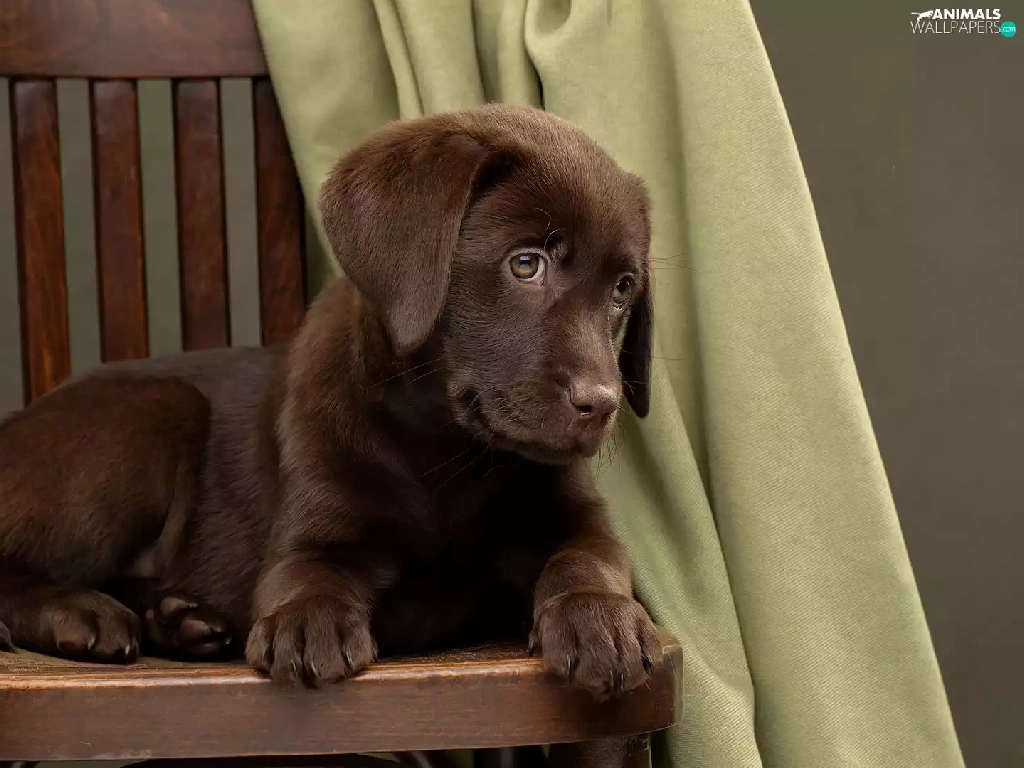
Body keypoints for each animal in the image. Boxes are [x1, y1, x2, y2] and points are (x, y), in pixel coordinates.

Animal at [0, 104, 659, 696]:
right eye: (526, 264)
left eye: (623, 289)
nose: (601, 405)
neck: (442, 445)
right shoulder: (314, 528)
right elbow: (306, 574)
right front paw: (306, 621)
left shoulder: (576, 517)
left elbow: (592, 557)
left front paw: (601, 616)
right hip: (153, 414)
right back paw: (80, 613)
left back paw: (180, 620)